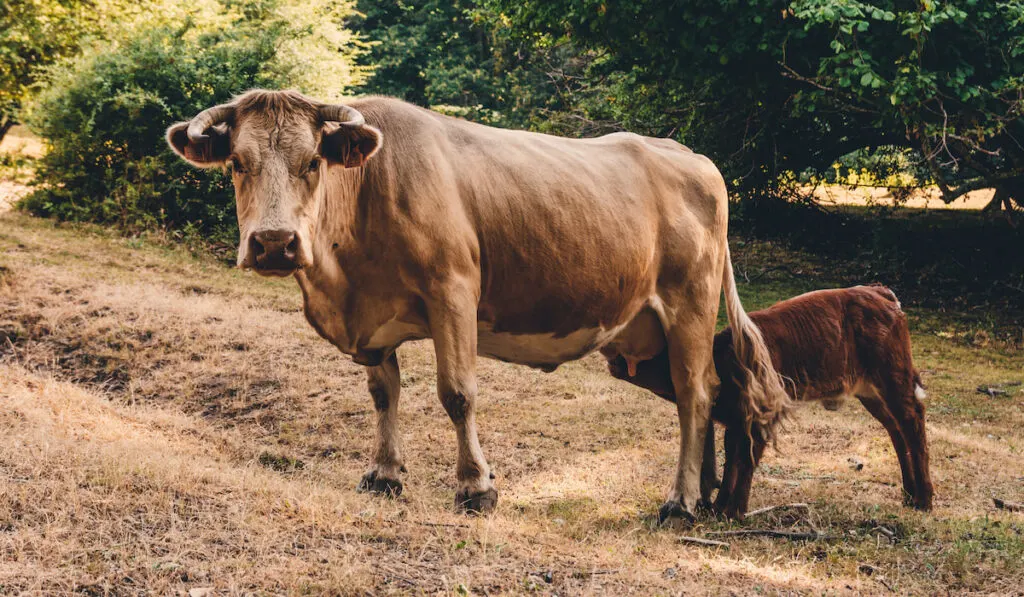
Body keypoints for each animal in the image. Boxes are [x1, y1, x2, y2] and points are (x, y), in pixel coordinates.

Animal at [165, 88, 782, 524]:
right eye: (236, 163)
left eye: (313, 162)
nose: (274, 243)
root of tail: (691, 156)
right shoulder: (373, 325)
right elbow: (383, 394)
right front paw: (385, 474)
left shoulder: (454, 290)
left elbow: (457, 393)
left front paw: (475, 487)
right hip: (641, 336)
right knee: (709, 393)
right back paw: (708, 492)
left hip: (689, 306)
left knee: (694, 394)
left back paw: (680, 502)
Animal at [606, 284, 937, 518]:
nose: (612, 359)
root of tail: (878, 292)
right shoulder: (735, 421)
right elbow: (732, 459)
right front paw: (720, 507)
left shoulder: (757, 417)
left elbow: (745, 460)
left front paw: (732, 511)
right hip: (869, 388)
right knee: (895, 427)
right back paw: (909, 494)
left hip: (891, 373)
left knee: (912, 418)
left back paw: (924, 499)